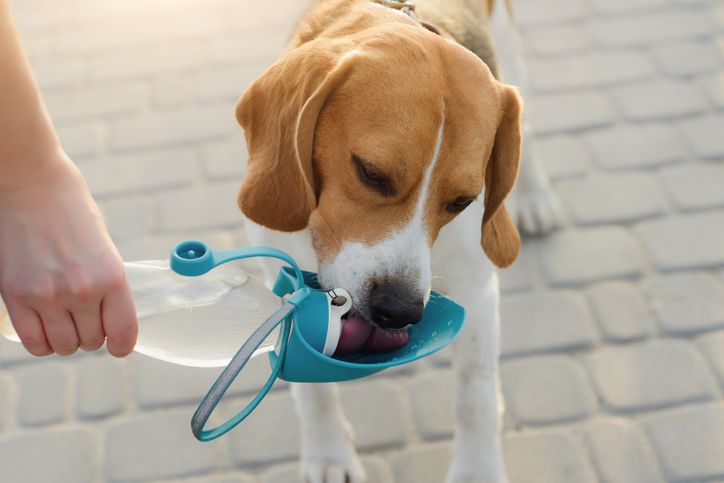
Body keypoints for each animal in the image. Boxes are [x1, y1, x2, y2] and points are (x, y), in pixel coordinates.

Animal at [238, 1, 560, 482]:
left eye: (463, 201)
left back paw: (535, 196)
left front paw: (478, 469)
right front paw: (329, 453)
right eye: (371, 173)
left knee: (529, 130)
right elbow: (312, 392)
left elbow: (475, 395)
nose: (399, 310)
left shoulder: (477, 293)